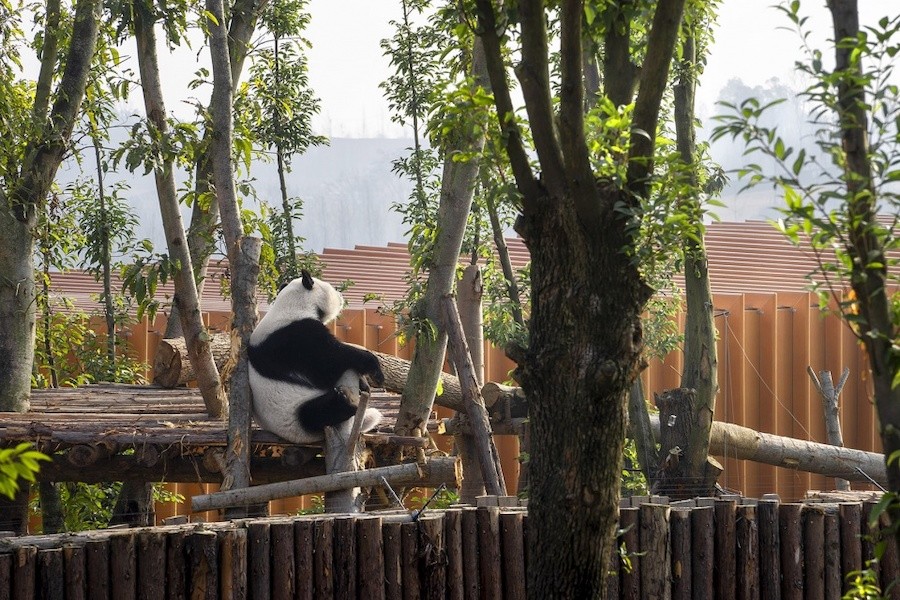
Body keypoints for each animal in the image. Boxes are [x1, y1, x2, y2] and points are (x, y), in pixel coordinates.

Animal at [248, 270, 384, 442]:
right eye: (333, 289)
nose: (341, 296)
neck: (292, 305)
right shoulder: (297, 337)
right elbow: (330, 362)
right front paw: (375, 371)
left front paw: (364, 384)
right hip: (295, 411)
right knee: (315, 413)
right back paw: (347, 402)